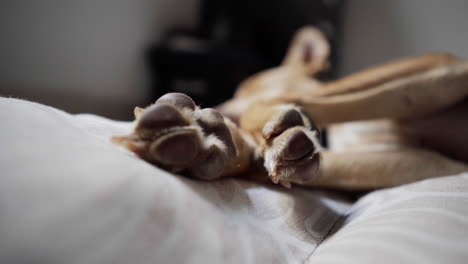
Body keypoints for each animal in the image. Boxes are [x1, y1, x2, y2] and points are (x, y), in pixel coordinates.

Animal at [112, 26, 468, 190]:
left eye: (249, 86)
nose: (222, 105)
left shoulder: (443, 69)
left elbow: (270, 105)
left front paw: (221, 128)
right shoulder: (429, 164)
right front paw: (217, 144)